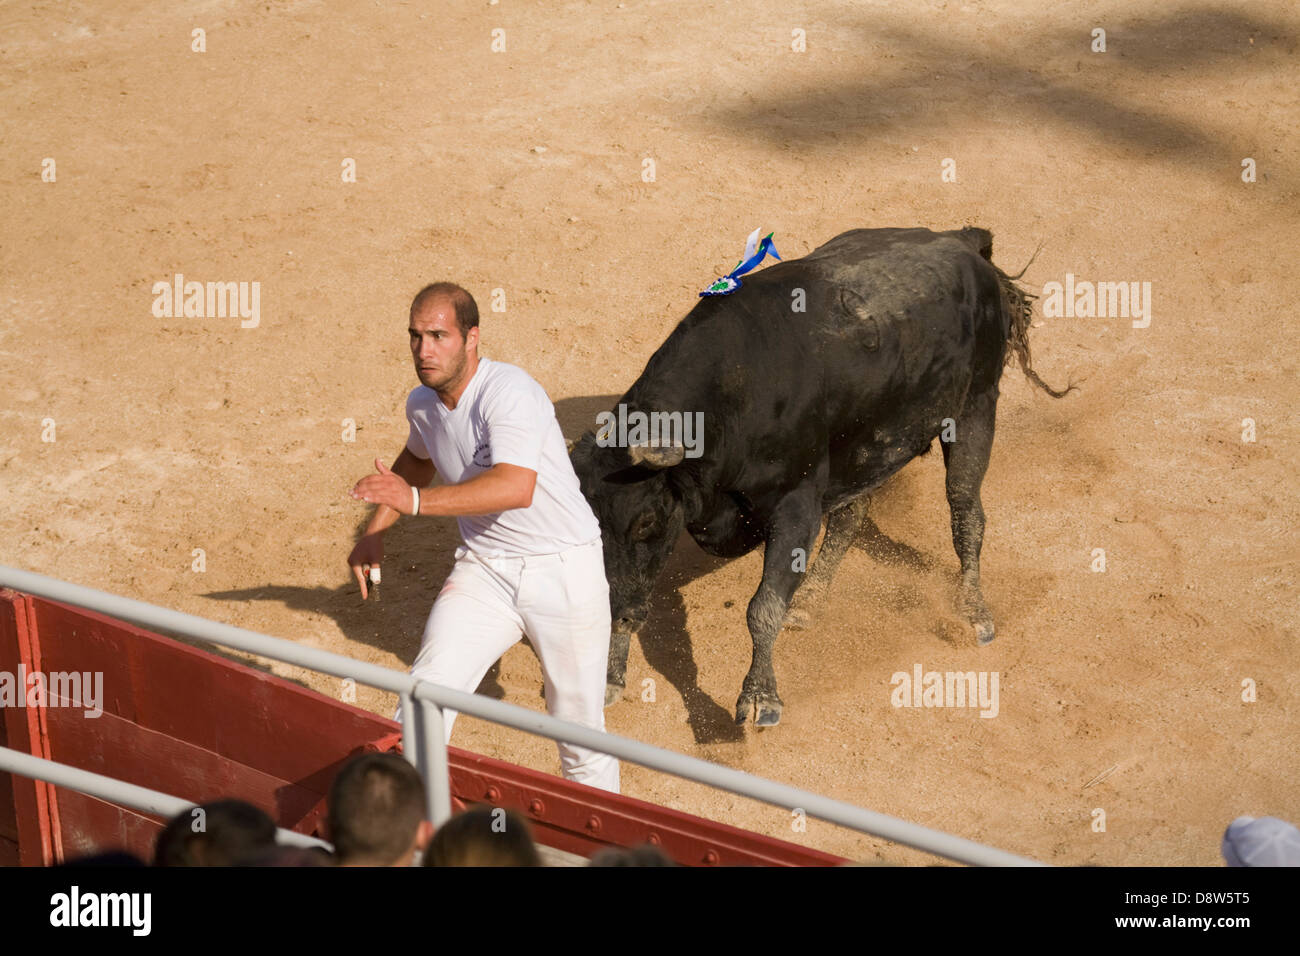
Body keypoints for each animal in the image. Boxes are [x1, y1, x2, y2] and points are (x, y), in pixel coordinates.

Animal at [569, 227, 1066, 728]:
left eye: (647, 522)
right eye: (590, 527)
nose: (618, 615)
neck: (735, 393)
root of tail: (963, 241)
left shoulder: (796, 506)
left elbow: (763, 606)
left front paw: (760, 698)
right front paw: (608, 678)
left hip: (976, 407)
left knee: (966, 512)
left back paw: (973, 611)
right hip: (866, 446)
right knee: (853, 515)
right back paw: (810, 600)